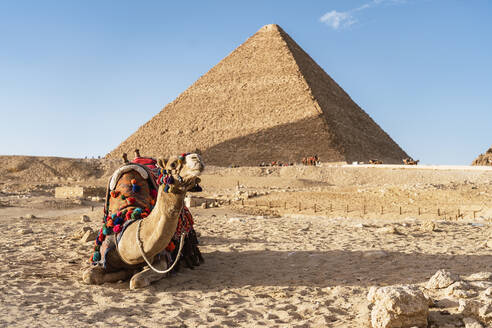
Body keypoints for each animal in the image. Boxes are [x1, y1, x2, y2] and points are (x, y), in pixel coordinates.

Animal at [82, 152, 204, 288]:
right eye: (173, 164)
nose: (197, 158)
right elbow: (88, 275)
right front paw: (126, 271)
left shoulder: (162, 260)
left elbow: (136, 281)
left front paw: (132, 272)